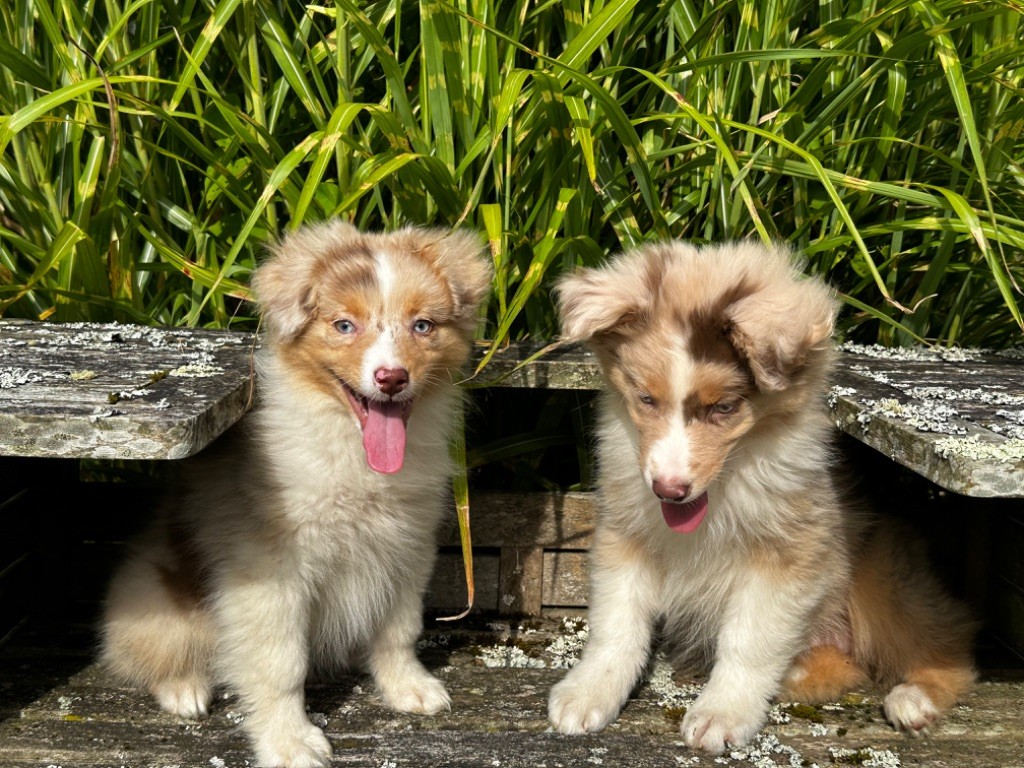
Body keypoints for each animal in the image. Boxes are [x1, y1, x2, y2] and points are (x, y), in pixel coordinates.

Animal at [101, 219, 493, 765]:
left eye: (423, 326)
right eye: (344, 326)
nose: (391, 378)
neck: (351, 451)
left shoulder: (407, 546)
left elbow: (398, 630)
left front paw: (408, 688)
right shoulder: (270, 571)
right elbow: (280, 664)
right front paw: (289, 741)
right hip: (155, 598)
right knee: (151, 653)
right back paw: (185, 688)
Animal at [548, 243, 970, 753]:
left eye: (725, 408)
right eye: (646, 399)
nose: (669, 490)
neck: (726, 483)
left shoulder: (787, 554)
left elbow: (748, 641)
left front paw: (721, 713)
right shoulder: (625, 534)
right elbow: (616, 625)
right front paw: (589, 692)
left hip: (882, 580)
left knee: (949, 644)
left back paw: (914, 698)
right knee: (850, 668)